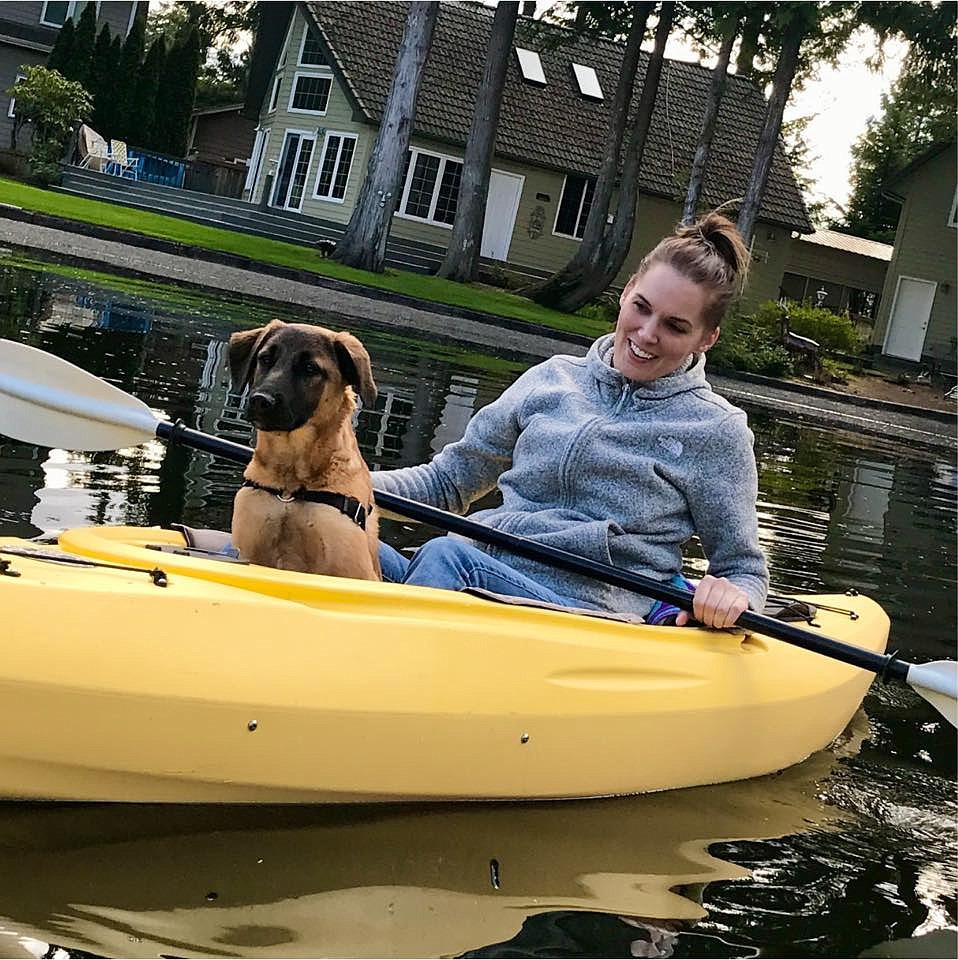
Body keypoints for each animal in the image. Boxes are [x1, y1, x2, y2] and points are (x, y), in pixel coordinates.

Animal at [229, 318, 382, 580]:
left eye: (311, 368)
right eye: (265, 359)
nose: (261, 400)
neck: (290, 488)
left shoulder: (355, 570)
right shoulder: (248, 550)